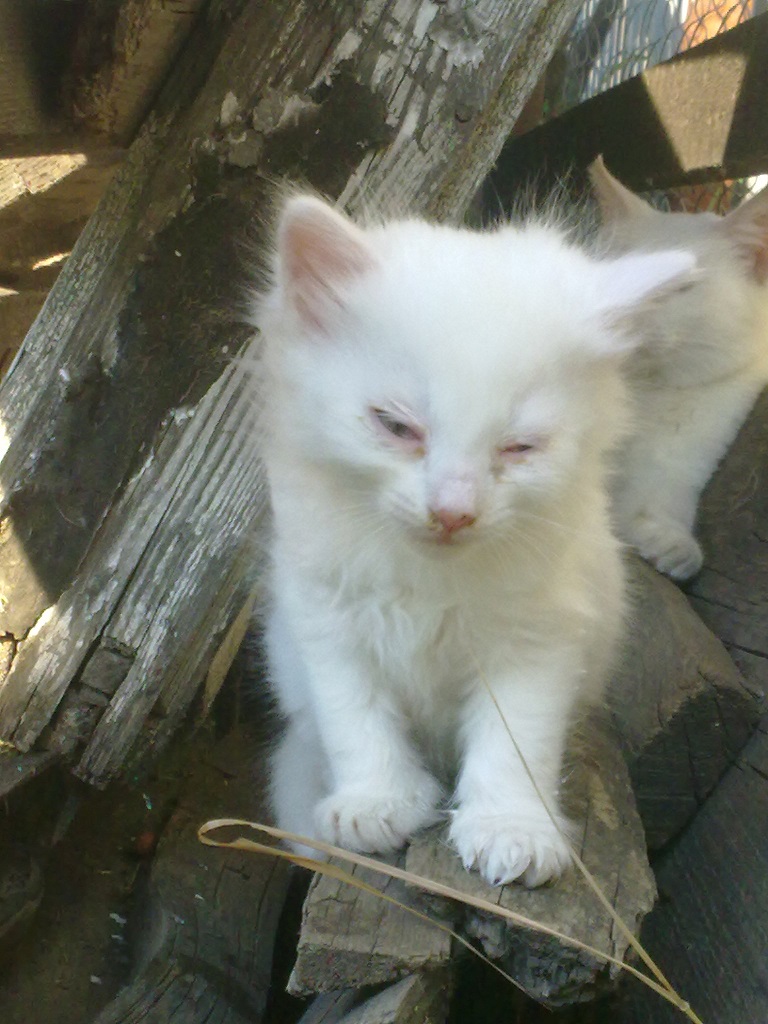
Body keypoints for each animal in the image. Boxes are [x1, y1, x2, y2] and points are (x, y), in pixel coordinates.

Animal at [252, 192, 694, 887]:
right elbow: (357, 719)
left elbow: (516, 743)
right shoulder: (327, 621)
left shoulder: (540, 639)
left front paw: (512, 829)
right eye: (396, 426)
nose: (452, 512)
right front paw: (375, 803)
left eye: (519, 447)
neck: (430, 580)